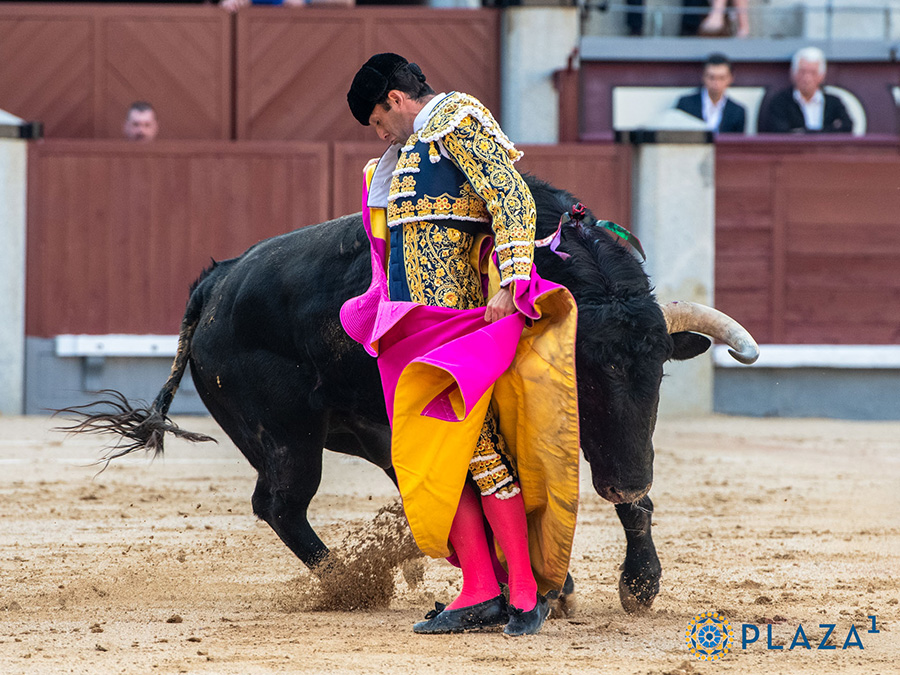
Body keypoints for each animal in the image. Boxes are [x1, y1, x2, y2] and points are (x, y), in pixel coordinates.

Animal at [59, 175, 757, 613]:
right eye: (584, 375)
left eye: (657, 373)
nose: (627, 478)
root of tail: (218, 280)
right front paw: (554, 587)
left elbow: (620, 499)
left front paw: (638, 584)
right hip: (284, 436)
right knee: (281, 504)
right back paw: (350, 585)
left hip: (362, 429)